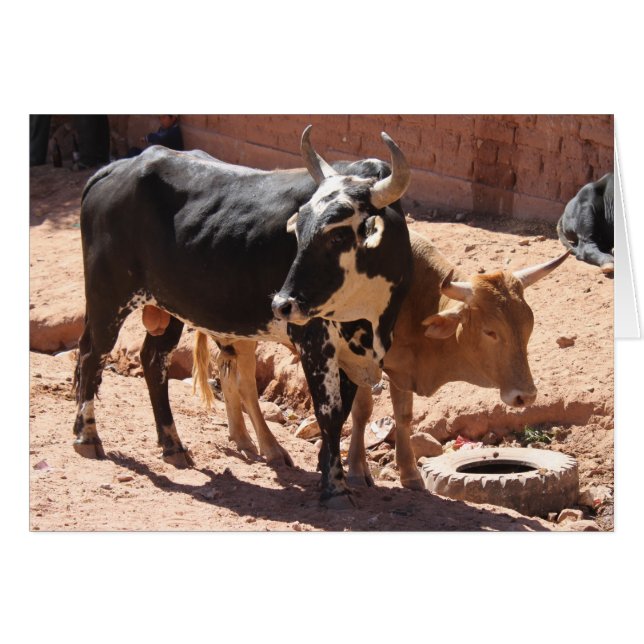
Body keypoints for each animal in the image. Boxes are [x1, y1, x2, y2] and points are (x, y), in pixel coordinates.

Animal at [72, 126, 412, 506]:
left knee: (153, 360)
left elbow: (346, 411)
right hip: (108, 295)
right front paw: (335, 487)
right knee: (92, 354)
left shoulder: (355, 355)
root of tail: (116, 168)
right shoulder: (315, 343)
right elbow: (329, 414)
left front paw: (328, 470)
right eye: (298, 230)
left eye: (338, 234)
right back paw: (88, 437)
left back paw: (173, 445)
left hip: (167, 307)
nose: (282, 304)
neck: (369, 319)